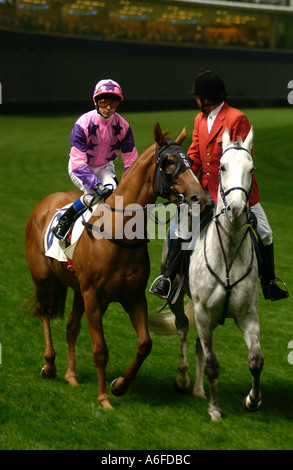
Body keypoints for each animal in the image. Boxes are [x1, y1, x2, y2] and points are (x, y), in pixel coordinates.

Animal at [25, 123, 205, 410]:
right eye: (169, 161)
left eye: (189, 160)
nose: (198, 196)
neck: (118, 234)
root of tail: (44, 203)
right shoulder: (95, 297)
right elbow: (100, 351)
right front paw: (103, 399)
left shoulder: (133, 296)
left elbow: (145, 344)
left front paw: (119, 385)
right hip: (43, 279)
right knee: (45, 313)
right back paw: (50, 365)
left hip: (77, 289)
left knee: (71, 326)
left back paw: (71, 375)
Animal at [148, 127, 262, 422]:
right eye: (223, 167)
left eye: (251, 169)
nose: (236, 209)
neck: (229, 252)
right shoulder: (202, 312)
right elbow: (212, 363)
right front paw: (215, 409)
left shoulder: (247, 315)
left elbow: (256, 360)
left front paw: (252, 400)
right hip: (179, 301)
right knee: (182, 328)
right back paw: (184, 379)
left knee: (199, 342)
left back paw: (198, 389)